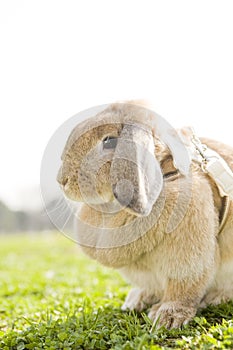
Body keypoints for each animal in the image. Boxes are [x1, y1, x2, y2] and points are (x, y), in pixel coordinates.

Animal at [57, 100, 233, 328]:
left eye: (109, 141)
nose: (62, 180)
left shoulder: (187, 258)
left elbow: (183, 288)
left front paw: (168, 318)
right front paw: (137, 301)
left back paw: (215, 298)